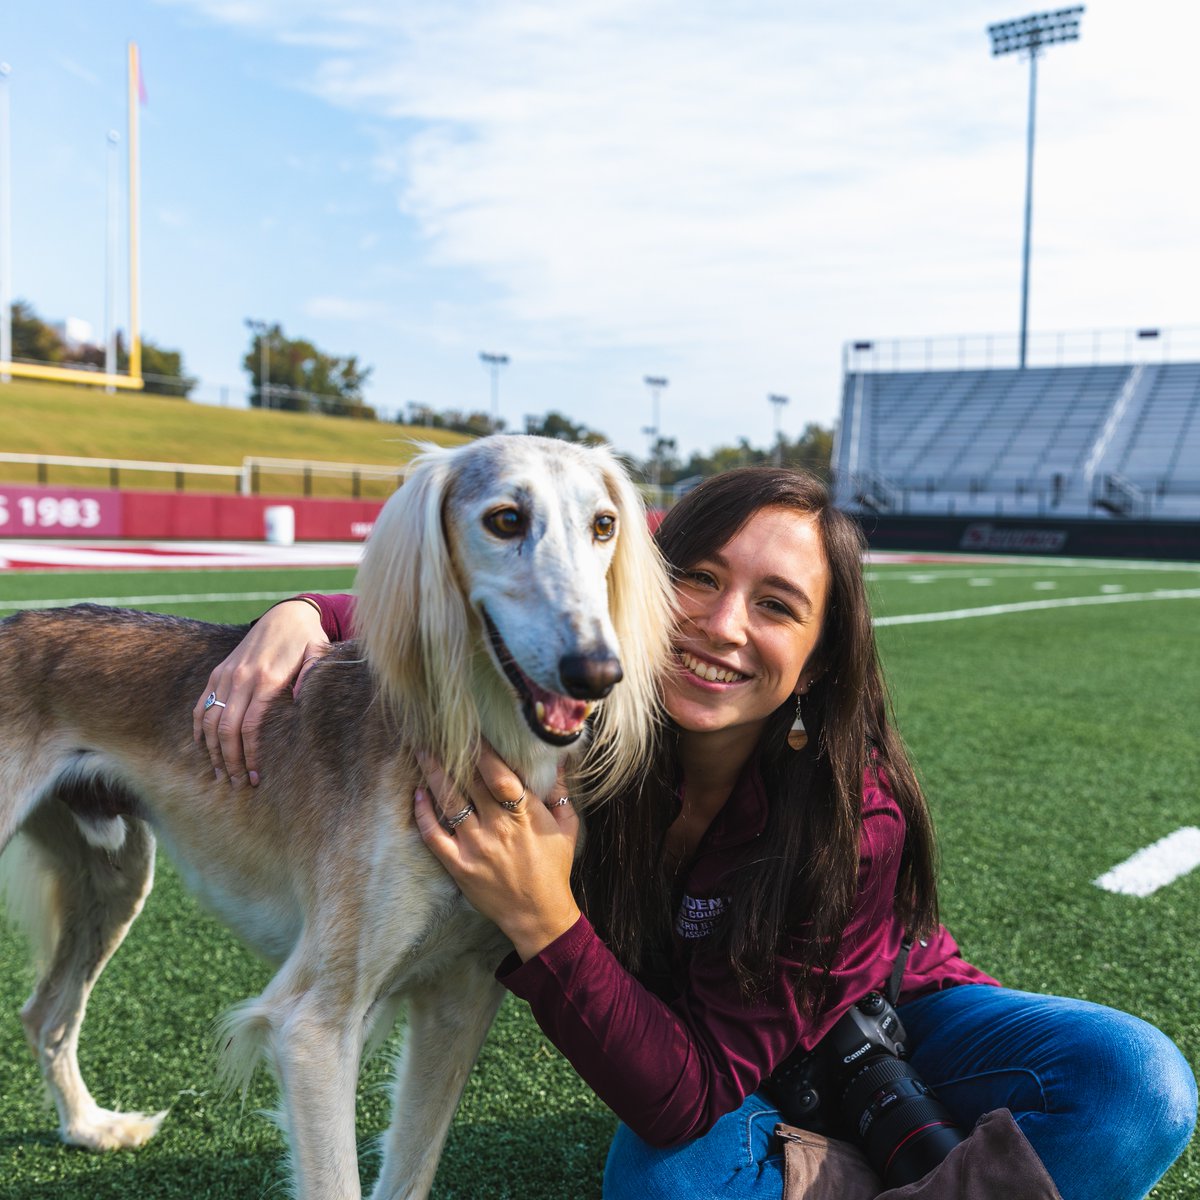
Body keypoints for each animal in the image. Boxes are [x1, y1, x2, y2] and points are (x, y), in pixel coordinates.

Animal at [0, 436, 676, 1200]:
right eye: (505, 519)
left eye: (603, 525)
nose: (597, 671)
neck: (462, 750)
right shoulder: (315, 1026)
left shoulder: (463, 993)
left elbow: (411, 1169)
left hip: (114, 878)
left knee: (47, 1014)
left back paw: (89, 1127)